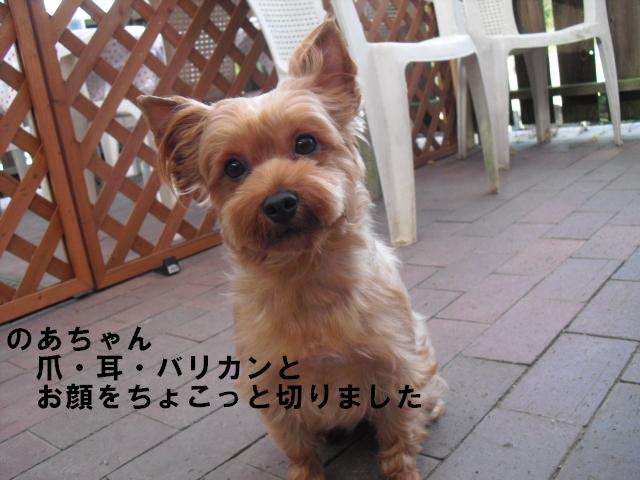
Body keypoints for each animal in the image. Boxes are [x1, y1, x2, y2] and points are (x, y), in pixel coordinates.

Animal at [139, 19, 446, 480]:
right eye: (233, 168)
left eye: (305, 144)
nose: (279, 201)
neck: (306, 274)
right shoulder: (273, 388)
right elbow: (298, 446)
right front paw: (305, 472)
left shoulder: (394, 367)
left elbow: (397, 435)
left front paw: (402, 471)